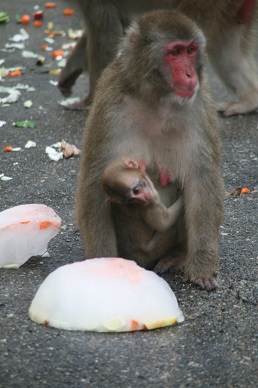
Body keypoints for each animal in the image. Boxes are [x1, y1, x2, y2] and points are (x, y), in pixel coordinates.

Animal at [75, 9, 225, 292]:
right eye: (174, 52)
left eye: (190, 51)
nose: (190, 75)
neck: (157, 100)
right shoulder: (109, 104)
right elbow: (93, 185)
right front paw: (101, 267)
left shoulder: (200, 107)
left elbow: (201, 180)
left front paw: (202, 266)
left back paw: (179, 254)